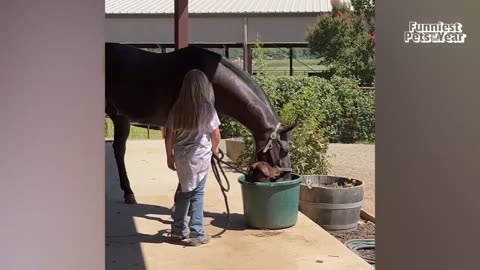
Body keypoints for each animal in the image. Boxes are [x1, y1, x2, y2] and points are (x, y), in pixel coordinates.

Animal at [105, 42, 296, 204]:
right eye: (285, 151)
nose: (286, 178)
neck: (210, 79)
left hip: (120, 117)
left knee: (119, 150)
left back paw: (129, 193)